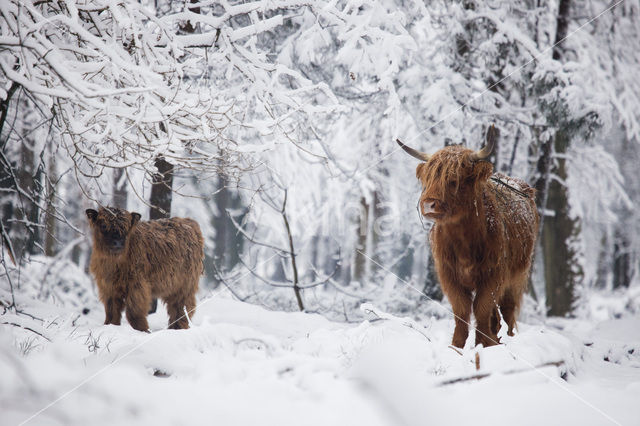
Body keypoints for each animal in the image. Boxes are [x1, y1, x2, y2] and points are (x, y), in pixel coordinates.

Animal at [400, 125, 540, 346]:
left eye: (453, 179)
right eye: (428, 178)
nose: (428, 204)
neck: (462, 240)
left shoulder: (493, 276)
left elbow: (481, 309)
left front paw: (484, 345)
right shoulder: (449, 276)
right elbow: (462, 310)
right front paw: (457, 346)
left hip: (518, 275)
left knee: (508, 310)